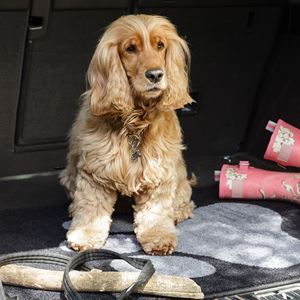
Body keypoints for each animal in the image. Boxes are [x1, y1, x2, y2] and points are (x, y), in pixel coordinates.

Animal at [60, 14, 196, 255]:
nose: (155, 74)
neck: (135, 120)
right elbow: (91, 208)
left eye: (160, 45)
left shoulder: (160, 172)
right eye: (130, 48)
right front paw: (85, 235)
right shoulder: (95, 172)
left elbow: (156, 212)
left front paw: (159, 238)